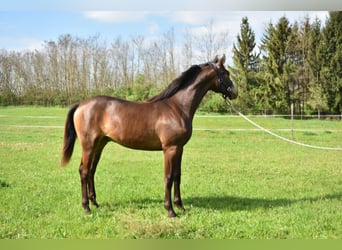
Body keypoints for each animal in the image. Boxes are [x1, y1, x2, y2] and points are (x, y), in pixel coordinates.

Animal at [60, 54, 238, 217]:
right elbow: (168, 177)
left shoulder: (179, 148)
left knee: (91, 171)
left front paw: (180, 206)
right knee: (84, 171)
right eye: (226, 73)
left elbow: (177, 176)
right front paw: (170, 210)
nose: (235, 92)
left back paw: (95, 203)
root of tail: (81, 105)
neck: (177, 107)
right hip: (88, 145)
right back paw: (86, 208)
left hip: (100, 144)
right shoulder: (170, 149)